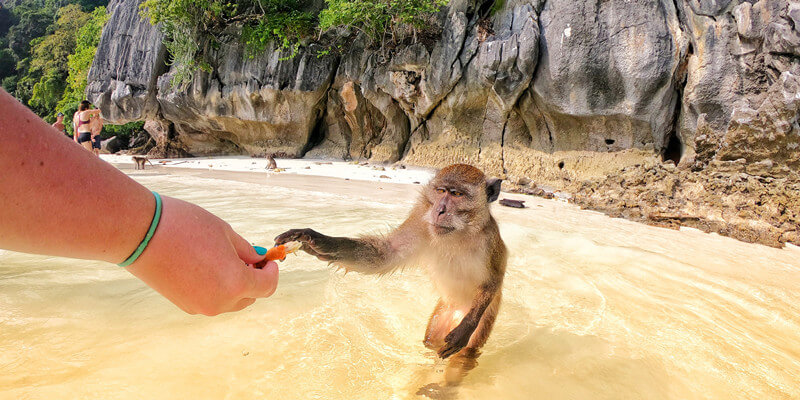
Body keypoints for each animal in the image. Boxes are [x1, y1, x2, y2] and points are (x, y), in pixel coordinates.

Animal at [272, 164, 504, 390]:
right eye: (441, 191)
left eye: (456, 194)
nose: (439, 210)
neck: (457, 233)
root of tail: (456, 310)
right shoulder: (421, 222)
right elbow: (386, 254)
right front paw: (314, 239)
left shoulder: (489, 241)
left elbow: (492, 282)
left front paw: (466, 327)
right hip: (442, 315)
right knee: (431, 342)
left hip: (485, 317)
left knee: (466, 354)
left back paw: (445, 387)